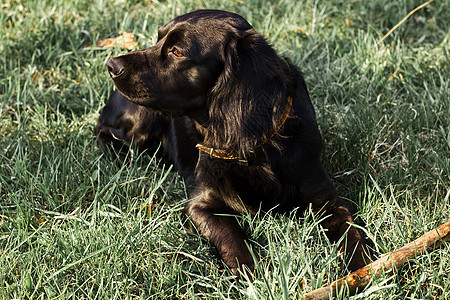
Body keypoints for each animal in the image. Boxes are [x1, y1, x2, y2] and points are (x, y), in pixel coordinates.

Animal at [94, 9, 370, 278]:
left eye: (177, 51)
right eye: (158, 38)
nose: (111, 65)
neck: (256, 144)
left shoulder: (327, 198)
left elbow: (352, 234)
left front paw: (363, 271)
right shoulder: (200, 204)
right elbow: (232, 236)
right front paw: (251, 276)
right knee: (105, 132)